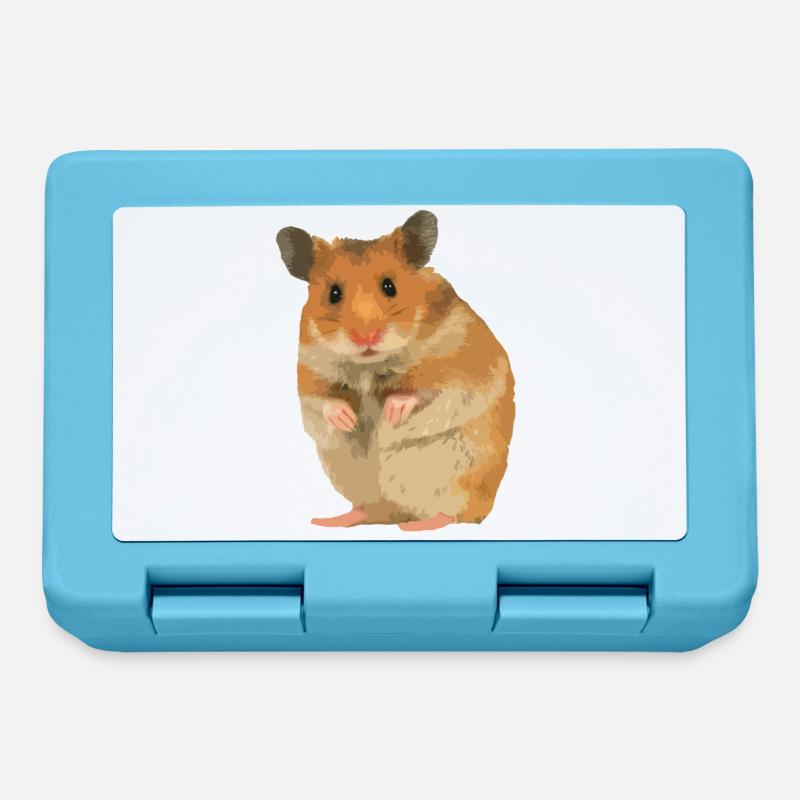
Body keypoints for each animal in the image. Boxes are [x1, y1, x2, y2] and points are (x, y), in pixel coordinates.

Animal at [276, 210, 515, 531]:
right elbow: (323, 401)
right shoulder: (309, 373)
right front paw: (347, 420)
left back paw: (416, 526)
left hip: (458, 479)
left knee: (455, 514)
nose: (366, 337)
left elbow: (428, 392)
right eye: (333, 293)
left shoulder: (461, 369)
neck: (370, 364)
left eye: (390, 286)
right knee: (371, 510)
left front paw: (391, 412)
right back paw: (328, 521)